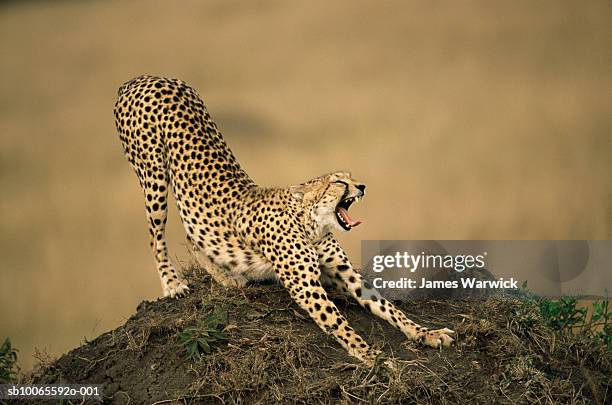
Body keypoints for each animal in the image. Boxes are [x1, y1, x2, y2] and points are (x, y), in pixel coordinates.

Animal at [113, 75, 454, 362]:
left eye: (352, 177)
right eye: (338, 181)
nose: (362, 186)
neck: (311, 225)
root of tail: (144, 77)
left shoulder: (348, 275)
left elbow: (387, 307)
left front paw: (428, 333)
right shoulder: (306, 287)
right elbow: (337, 321)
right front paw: (367, 353)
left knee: (193, 234)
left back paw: (227, 277)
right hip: (153, 176)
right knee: (156, 236)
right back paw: (173, 284)